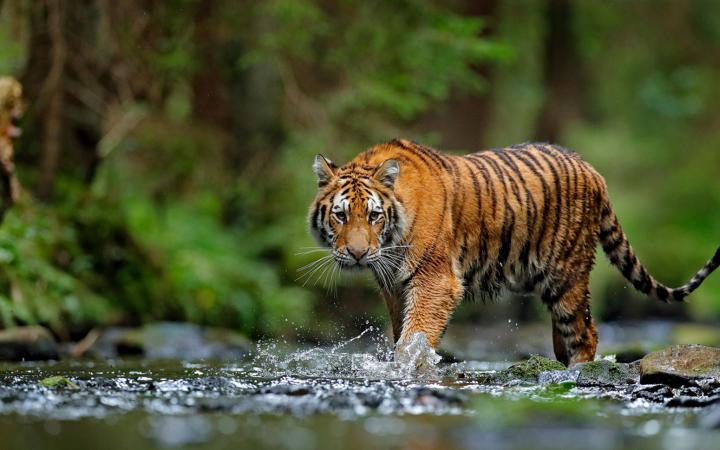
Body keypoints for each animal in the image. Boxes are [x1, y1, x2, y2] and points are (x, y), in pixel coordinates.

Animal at [308, 140, 720, 366]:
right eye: (341, 215)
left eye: (374, 216)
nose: (358, 254)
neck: (391, 241)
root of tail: (592, 169)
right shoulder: (394, 286)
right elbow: (402, 334)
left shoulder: (435, 281)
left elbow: (415, 337)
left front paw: (408, 368)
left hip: (566, 275)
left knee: (585, 332)